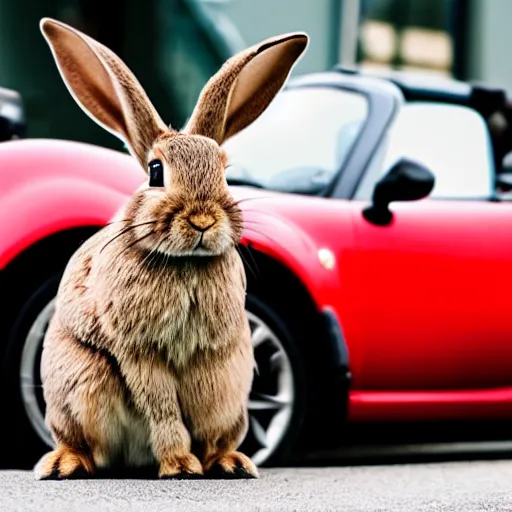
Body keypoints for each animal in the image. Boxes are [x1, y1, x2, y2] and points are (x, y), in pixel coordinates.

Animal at [35, 17, 308, 480]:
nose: (203, 220)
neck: (185, 263)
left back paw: (233, 463)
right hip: (76, 385)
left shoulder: (212, 363)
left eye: (224, 172)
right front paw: (180, 466)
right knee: (81, 441)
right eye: (156, 171)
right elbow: (162, 409)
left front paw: (206, 462)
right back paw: (63, 464)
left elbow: (200, 414)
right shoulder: (139, 351)